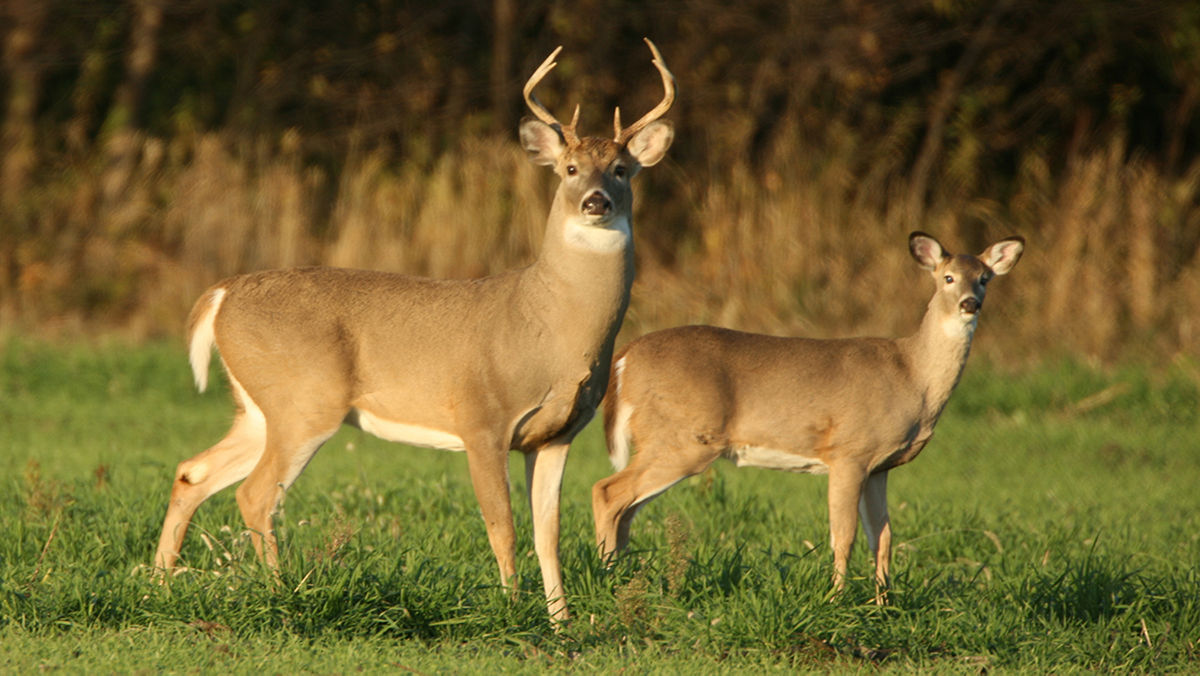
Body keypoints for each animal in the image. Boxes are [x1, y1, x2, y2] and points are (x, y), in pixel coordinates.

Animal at [152, 39, 676, 622]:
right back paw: (280, 592)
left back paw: (159, 586)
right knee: (255, 494)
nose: (595, 202)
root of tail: (221, 295)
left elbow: (549, 533)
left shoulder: (557, 434)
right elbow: (503, 527)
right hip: (303, 400)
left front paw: (561, 623)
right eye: (569, 168)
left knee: (192, 472)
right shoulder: (482, 418)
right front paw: (513, 611)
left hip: (258, 407)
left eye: (622, 170)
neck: (550, 326)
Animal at [591, 231, 1024, 603]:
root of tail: (625, 357)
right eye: (947, 277)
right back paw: (607, 575)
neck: (912, 375)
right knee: (607, 492)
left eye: (984, 278)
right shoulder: (850, 452)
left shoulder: (880, 467)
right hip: (682, 438)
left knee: (626, 508)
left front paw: (884, 602)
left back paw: (625, 576)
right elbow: (844, 535)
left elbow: (883, 537)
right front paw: (836, 599)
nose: (970, 303)